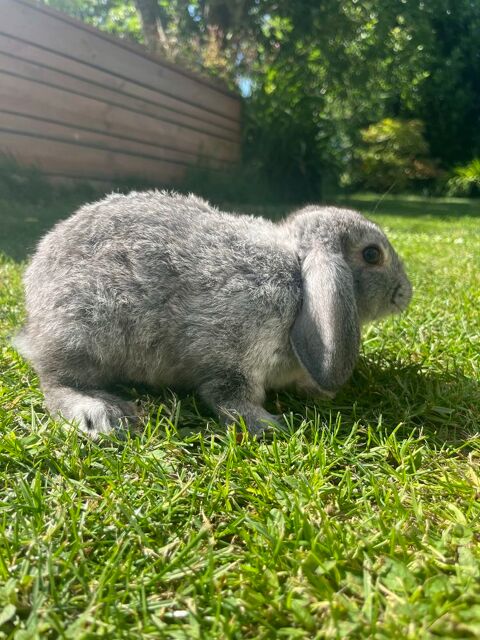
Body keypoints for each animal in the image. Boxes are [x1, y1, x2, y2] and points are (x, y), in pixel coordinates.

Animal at [14, 191, 412, 437]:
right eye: (372, 254)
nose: (405, 293)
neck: (298, 273)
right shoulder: (234, 348)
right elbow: (228, 396)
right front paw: (270, 424)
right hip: (84, 332)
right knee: (56, 382)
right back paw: (100, 413)